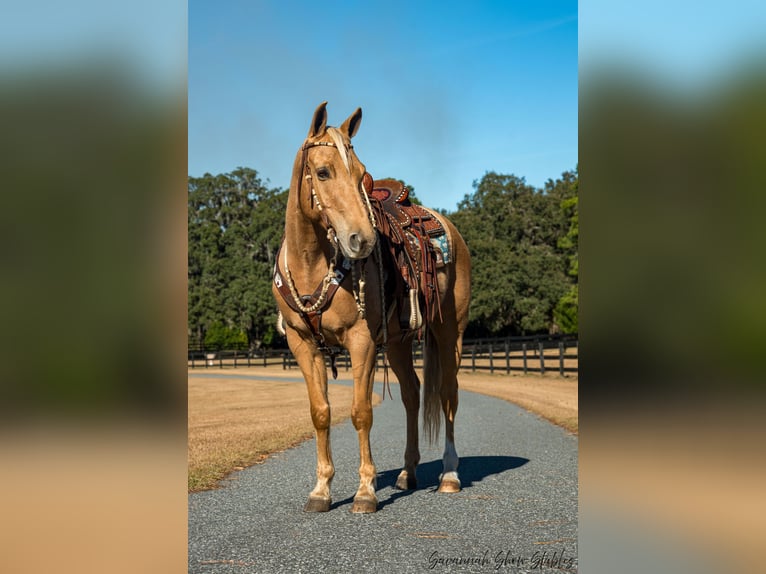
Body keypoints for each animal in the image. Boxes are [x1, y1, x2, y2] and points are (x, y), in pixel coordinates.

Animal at [272, 101, 472, 516]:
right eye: (323, 172)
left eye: (362, 174)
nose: (361, 240)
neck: (312, 263)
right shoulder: (302, 344)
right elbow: (320, 413)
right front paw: (321, 490)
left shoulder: (361, 340)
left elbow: (361, 412)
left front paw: (365, 492)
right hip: (397, 342)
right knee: (412, 394)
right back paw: (408, 473)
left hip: (450, 332)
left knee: (448, 394)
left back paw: (449, 474)